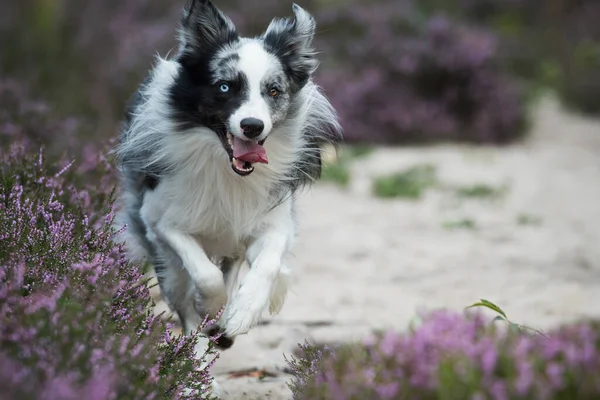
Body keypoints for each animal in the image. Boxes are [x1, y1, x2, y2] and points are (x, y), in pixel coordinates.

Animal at [110, 0, 340, 394]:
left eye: (273, 91)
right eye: (225, 86)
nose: (252, 126)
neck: (226, 167)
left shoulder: (273, 223)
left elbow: (266, 267)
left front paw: (241, 314)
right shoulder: (161, 220)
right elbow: (204, 277)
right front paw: (211, 306)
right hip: (167, 265)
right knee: (187, 308)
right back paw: (198, 374)